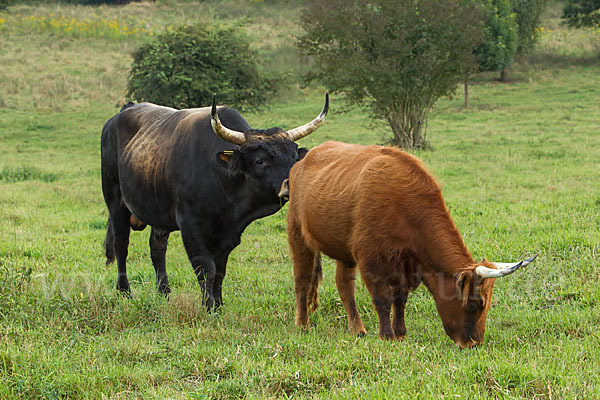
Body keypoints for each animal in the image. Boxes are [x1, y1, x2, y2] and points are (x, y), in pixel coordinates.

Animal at [101, 93, 330, 310]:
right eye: (260, 161)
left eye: (294, 158)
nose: (294, 183)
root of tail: (124, 110)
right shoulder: (190, 226)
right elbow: (205, 269)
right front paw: (208, 307)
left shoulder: (228, 234)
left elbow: (219, 271)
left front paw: (218, 305)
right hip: (115, 202)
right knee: (121, 245)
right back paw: (124, 292)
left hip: (158, 209)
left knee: (157, 248)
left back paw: (164, 292)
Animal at [284, 141, 536, 346]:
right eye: (476, 304)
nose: (474, 343)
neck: (405, 207)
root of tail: (302, 162)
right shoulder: (371, 261)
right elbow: (382, 299)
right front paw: (386, 335)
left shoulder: (403, 265)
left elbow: (400, 300)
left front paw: (400, 333)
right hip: (297, 236)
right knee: (303, 281)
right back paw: (303, 324)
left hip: (344, 254)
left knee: (345, 287)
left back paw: (357, 329)